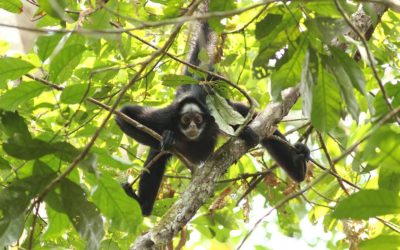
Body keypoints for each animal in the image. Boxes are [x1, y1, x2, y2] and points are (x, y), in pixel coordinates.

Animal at [115, 19, 310, 216]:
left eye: (198, 120)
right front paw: (167, 138)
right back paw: (143, 206)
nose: (192, 127)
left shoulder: (212, 114)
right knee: (157, 154)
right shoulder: (165, 118)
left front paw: (245, 132)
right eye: (185, 121)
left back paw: (298, 167)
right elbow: (123, 115)